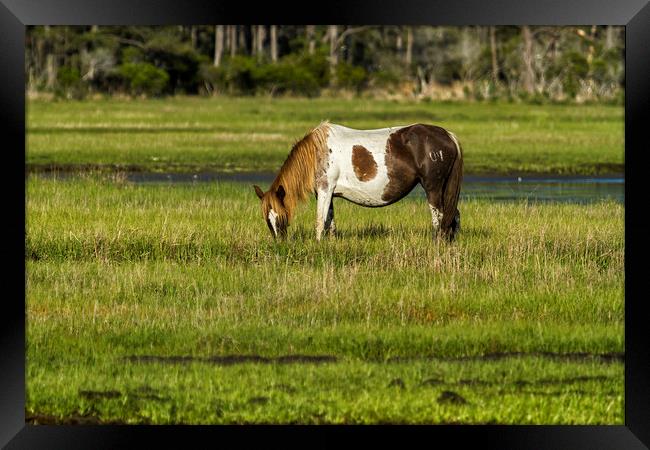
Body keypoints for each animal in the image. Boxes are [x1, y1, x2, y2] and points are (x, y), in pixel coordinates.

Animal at [252, 121, 460, 241]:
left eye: (281, 217)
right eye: (268, 220)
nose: (280, 245)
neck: (317, 151)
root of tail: (448, 135)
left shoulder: (325, 190)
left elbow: (320, 222)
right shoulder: (329, 194)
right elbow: (330, 222)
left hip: (433, 188)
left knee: (439, 218)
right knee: (453, 216)